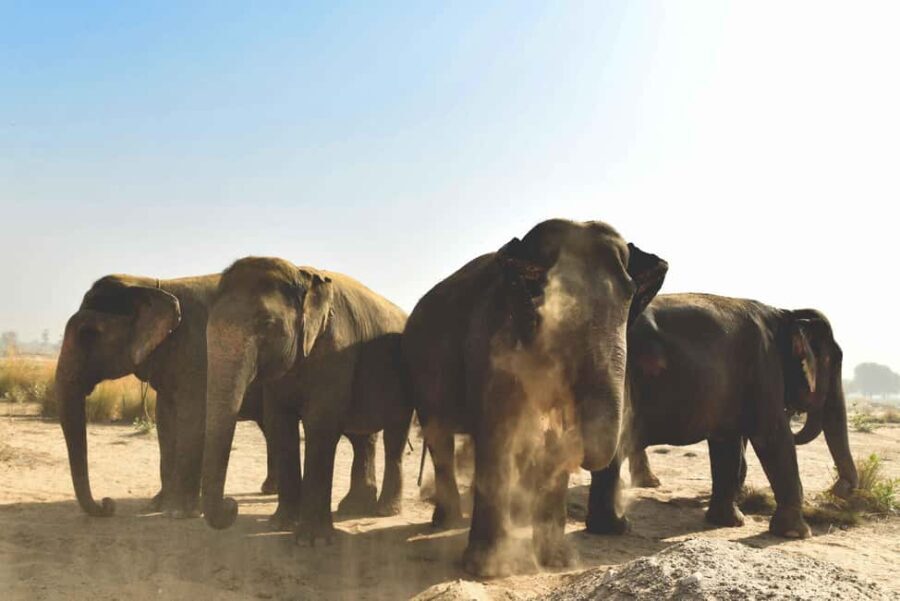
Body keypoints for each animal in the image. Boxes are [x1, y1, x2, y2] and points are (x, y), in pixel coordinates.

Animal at [56, 273, 279, 518]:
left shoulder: (198, 354)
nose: (108, 503)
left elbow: (192, 417)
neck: (147, 285)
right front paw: (157, 506)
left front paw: (181, 513)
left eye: (88, 334)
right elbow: (164, 418)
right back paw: (269, 489)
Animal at [201, 257, 413, 542]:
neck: (303, 276)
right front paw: (279, 524)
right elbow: (279, 424)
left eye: (267, 324)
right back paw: (354, 507)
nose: (232, 505)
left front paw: (312, 540)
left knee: (394, 436)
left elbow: (320, 423)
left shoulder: (337, 349)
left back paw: (385, 511)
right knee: (362, 438)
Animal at [403, 219, 668, 577]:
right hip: (420, 373)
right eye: (556, 298)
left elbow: (553, 438)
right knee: (439, 438)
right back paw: (446, 523)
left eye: (630, 294)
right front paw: (486, 569)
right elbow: (497, 432)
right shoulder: (490, 337)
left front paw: (558, 562)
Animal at [585, 294, 859, 540]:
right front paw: (797, 534)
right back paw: (619, 527)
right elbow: (771, 435)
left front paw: (729, 522)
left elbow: (727, 443)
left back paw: (609, 526)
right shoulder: (763, 365)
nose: (840, 488)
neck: (785, 314)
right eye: (831, 361)